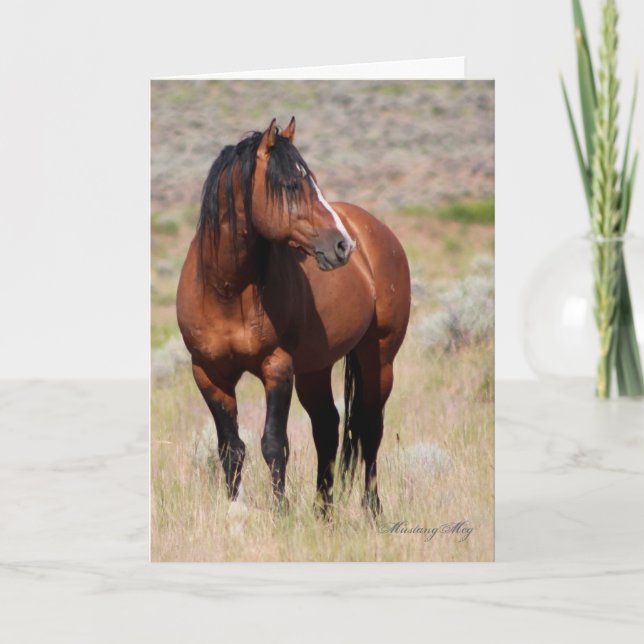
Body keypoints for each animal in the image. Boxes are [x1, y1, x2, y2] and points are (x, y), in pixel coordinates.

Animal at [176, 117, 411, 516]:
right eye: (290, 185)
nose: (343, 245)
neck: (226, 291)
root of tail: (375, 230)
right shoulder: (209, 373)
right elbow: (230, 447)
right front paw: (236, 511)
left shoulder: (278, 367)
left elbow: (273, 443)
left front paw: (280, 512)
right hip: (316, 369)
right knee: (328, 427)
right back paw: (322, 511)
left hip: (379, 357)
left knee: (370, 428)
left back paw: (372, 510)